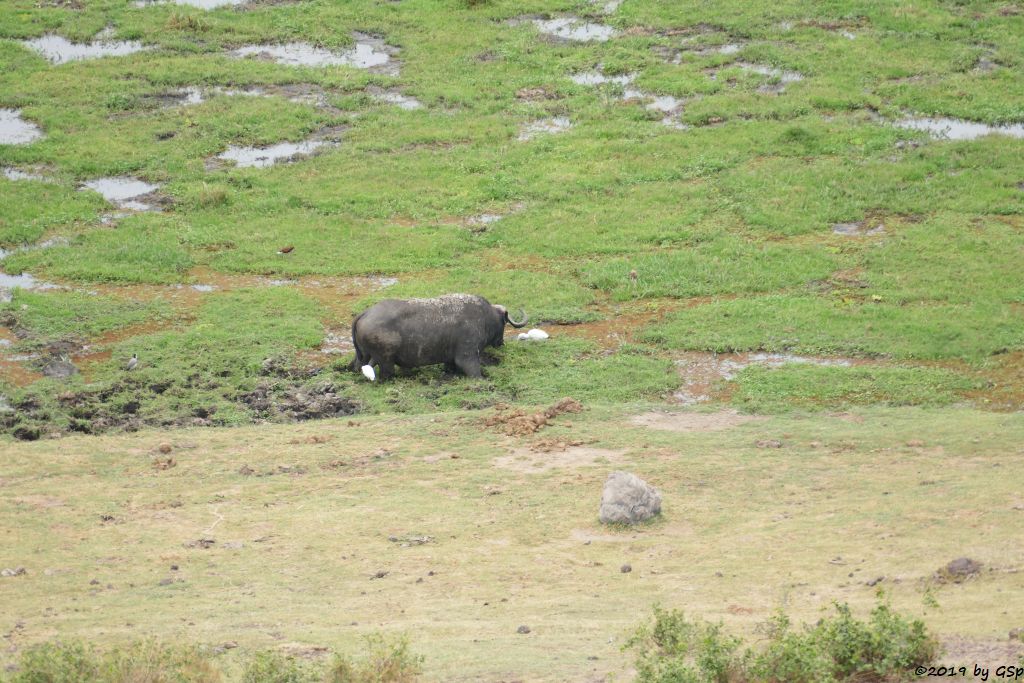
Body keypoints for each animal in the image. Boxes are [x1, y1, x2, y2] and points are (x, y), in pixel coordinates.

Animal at [352, 292, 528, 378]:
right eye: (504, 323)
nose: (501, 343)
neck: (485, 317)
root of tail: (365, 313)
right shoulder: (467, 356)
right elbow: (475, 372)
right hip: (386, 361)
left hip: (363, 357)